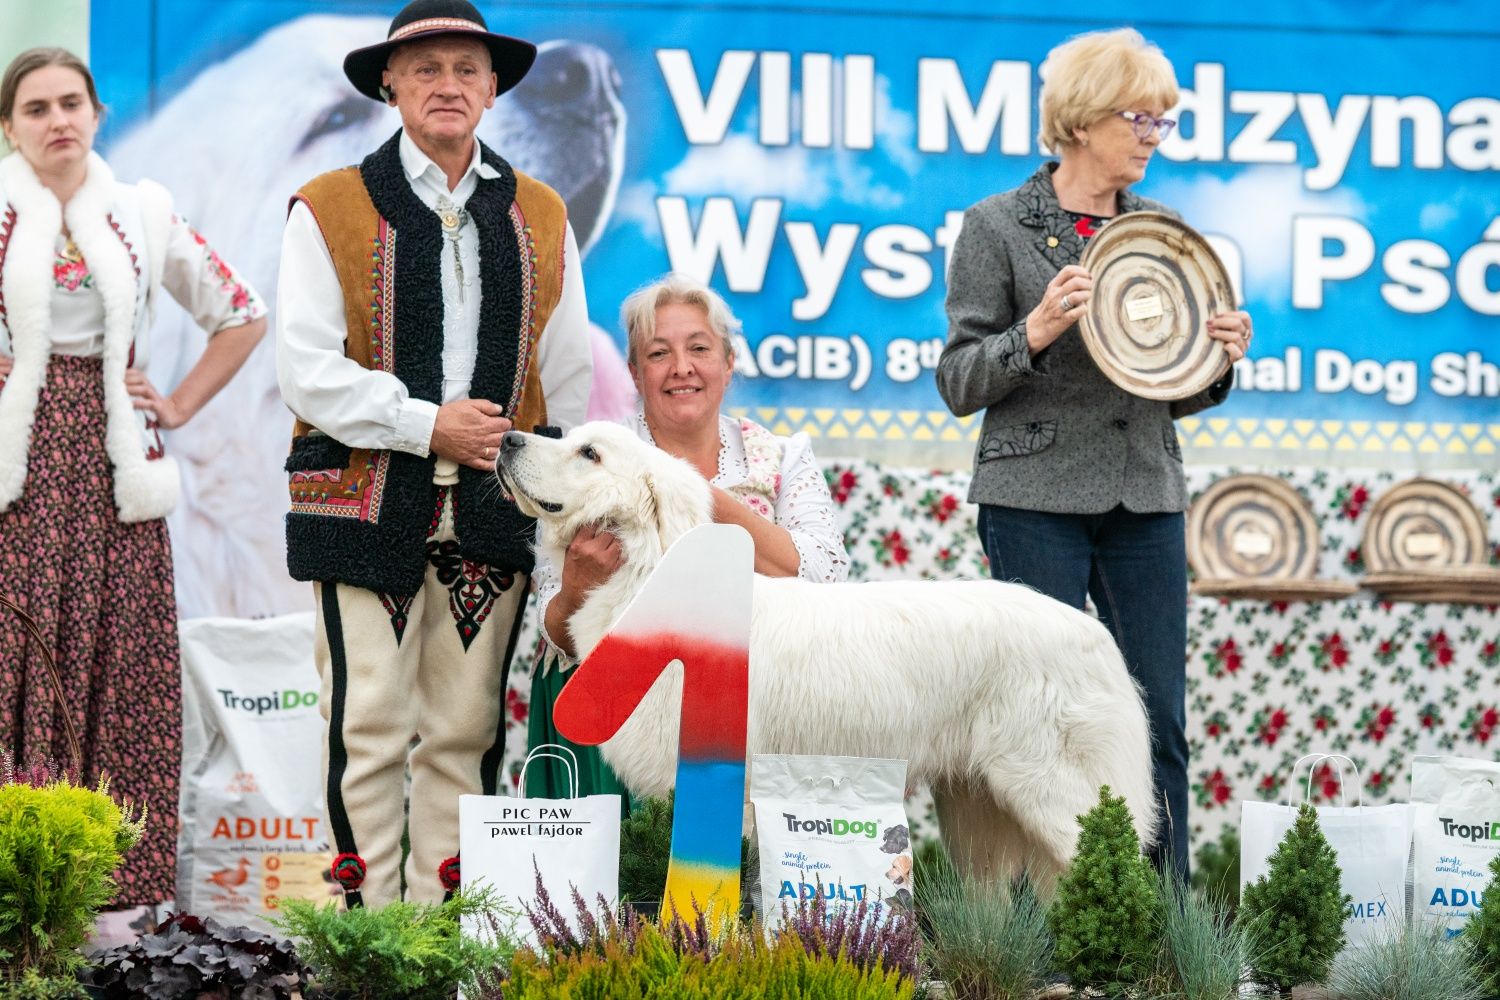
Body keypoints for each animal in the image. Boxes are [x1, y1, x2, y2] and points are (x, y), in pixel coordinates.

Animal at [498, 422, 1152, 881]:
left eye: (590, 453)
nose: (506, 437)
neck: (646, 575)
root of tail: (1099, 635)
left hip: (1057, 791)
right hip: (982, 808)